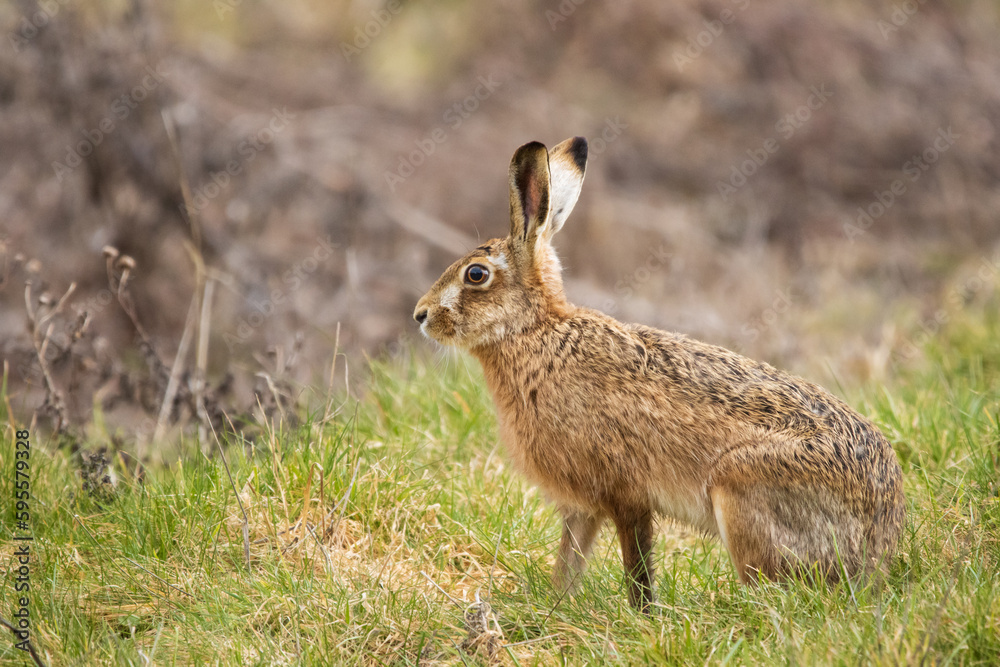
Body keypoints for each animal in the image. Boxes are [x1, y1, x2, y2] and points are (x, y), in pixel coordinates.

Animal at [413, 137, 905, 612]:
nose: (420, 315)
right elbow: (570, 560)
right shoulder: (582, 505)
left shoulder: (626, 492)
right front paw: (556, 605)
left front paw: (642, 616)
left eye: (476, 275)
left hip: (740, 489)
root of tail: (880, 543)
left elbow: (637, 566)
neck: (536, 332)